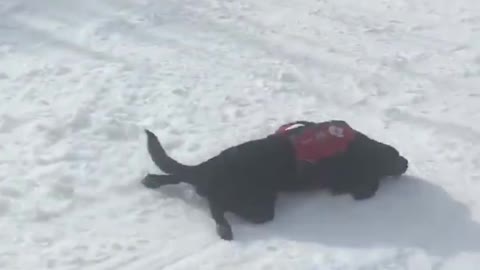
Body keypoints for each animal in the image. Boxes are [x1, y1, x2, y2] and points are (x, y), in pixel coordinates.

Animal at [142, 120, 408, 240]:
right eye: (395, 158)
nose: (405, 163)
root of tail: (209, 169)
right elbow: (368, 185)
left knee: (180, 178)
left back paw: (152, 180)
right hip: (257, 204)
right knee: (215, 206)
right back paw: (224, 228)